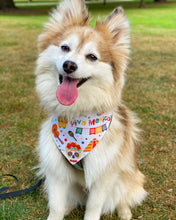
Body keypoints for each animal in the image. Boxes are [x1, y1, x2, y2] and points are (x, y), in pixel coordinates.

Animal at [35, 0, 146, 219]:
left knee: (123, 196)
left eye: (92, 57)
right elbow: (56, 205)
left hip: (127, 178)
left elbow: (94, 206)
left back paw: (125, 211)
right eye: (65, 47)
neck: (77, 117)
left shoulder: (104, 173)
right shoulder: (56, 171)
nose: (69, 65)